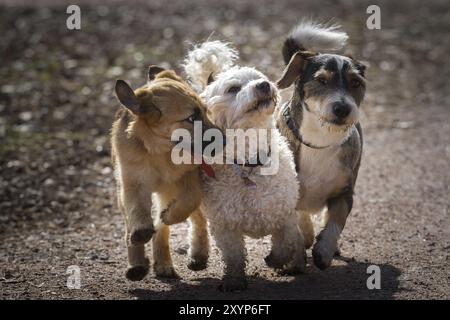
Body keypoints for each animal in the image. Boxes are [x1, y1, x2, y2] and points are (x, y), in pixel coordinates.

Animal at [112, 67, 218, 280]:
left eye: (205, 111)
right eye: (191, 118)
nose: (225, 140)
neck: (159, 153)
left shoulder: (187, 177)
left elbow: (189, 201)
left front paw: (169, 216)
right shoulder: (132, 182)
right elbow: (137, 209)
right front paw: (141, 233)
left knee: (192, 220)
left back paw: (180, 259)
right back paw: (139, 264)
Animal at [183, 41, 306, 292]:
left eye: (260, 78)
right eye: (233, 89)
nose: (264, 85)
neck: (249, 163)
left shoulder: (285, 215)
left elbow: (286, 244)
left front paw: (276, 259)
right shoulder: (225, 225)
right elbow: (233, 256)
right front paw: (234, 280)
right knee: (198, 226)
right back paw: (198, 256)